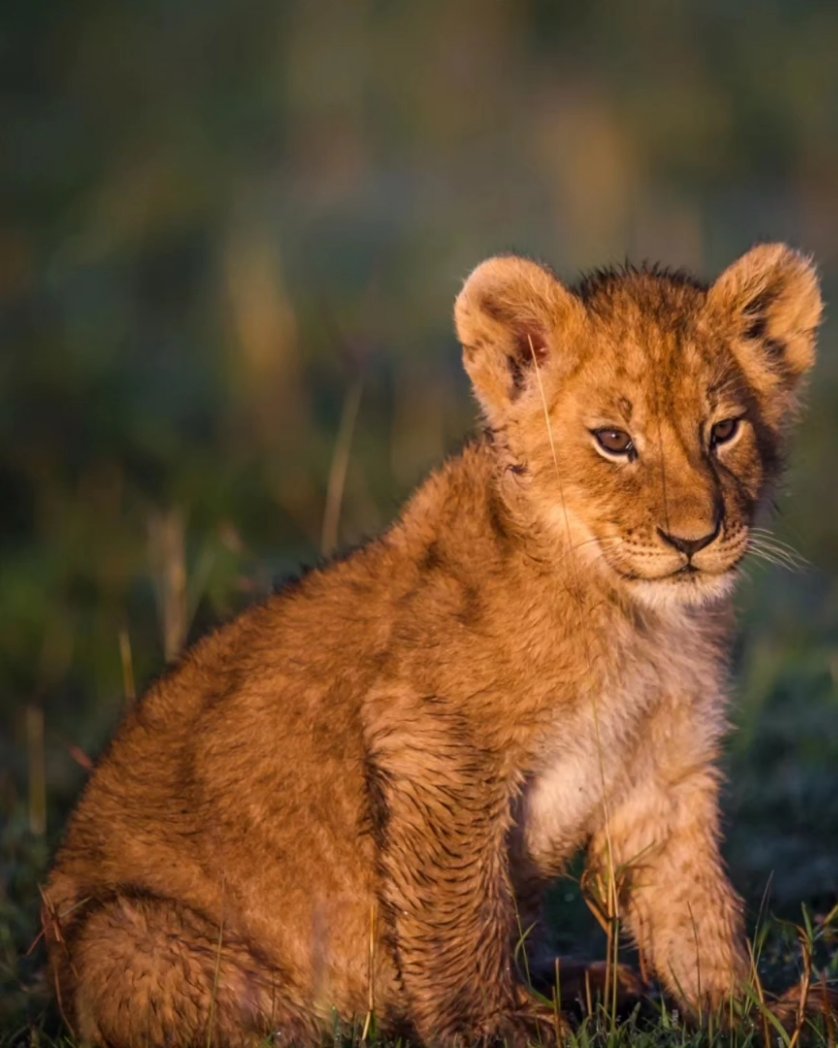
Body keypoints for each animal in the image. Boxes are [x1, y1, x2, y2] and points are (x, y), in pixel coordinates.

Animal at [43, 244, 822, 1046]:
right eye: (614, 441)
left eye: (723, 431)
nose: (693, 539)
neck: (635, 617)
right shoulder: (432, 735)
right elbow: (461, 901)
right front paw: (490, 1024)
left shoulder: (664, 766)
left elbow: (693, 905)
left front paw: (754, 1012)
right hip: (122, 935)